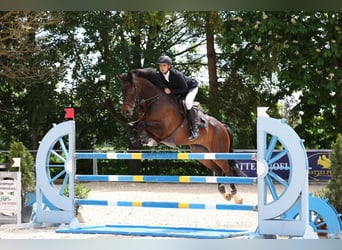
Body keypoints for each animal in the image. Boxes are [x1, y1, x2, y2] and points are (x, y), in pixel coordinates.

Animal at [118, 68, 246, 203]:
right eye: (122, 90)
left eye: (132, 89)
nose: (126, 111)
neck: (155, 101)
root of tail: (223, 126)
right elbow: (131, 125)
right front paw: (136, 140)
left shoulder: (163, 129)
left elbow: (142, 125)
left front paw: (145, 139)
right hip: (202, 153)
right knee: (218, 170)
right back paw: (224, 193)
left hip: (219, 151)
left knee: (228, 170)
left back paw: (236, 196)